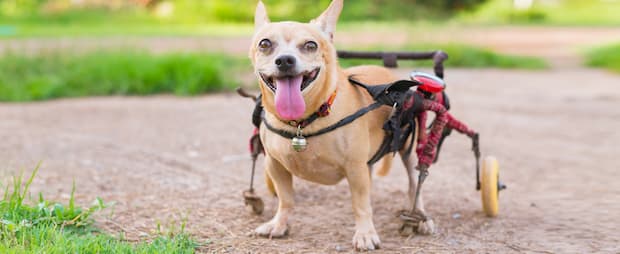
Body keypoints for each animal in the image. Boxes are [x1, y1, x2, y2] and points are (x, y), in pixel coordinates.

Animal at [249, 0, 434, 250]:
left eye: (310, 45)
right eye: (265, 44)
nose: (285, 60)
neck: (304, 121)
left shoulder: (355, 168)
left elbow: (360, 204)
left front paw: (365, 234)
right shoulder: (275, 165)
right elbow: (285, 199)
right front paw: (279, 224)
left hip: (409, 152)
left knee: (416, 185)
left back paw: (421, 217)